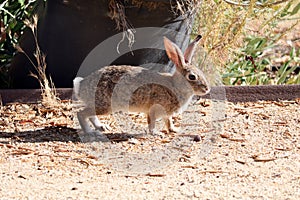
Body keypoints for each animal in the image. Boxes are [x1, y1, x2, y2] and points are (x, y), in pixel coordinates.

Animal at [73, 35, 210, 135]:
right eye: (192, 77)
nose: (207, 89)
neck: (175, 86)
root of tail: (80, 86)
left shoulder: (166, 114)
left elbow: (168, 122)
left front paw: (174, 130)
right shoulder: (154, 109)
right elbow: (152, 122)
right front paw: (156, 133)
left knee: (91, 115)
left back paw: (101, 127)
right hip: (105, 106)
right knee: (81, 113)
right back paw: (89, 132)